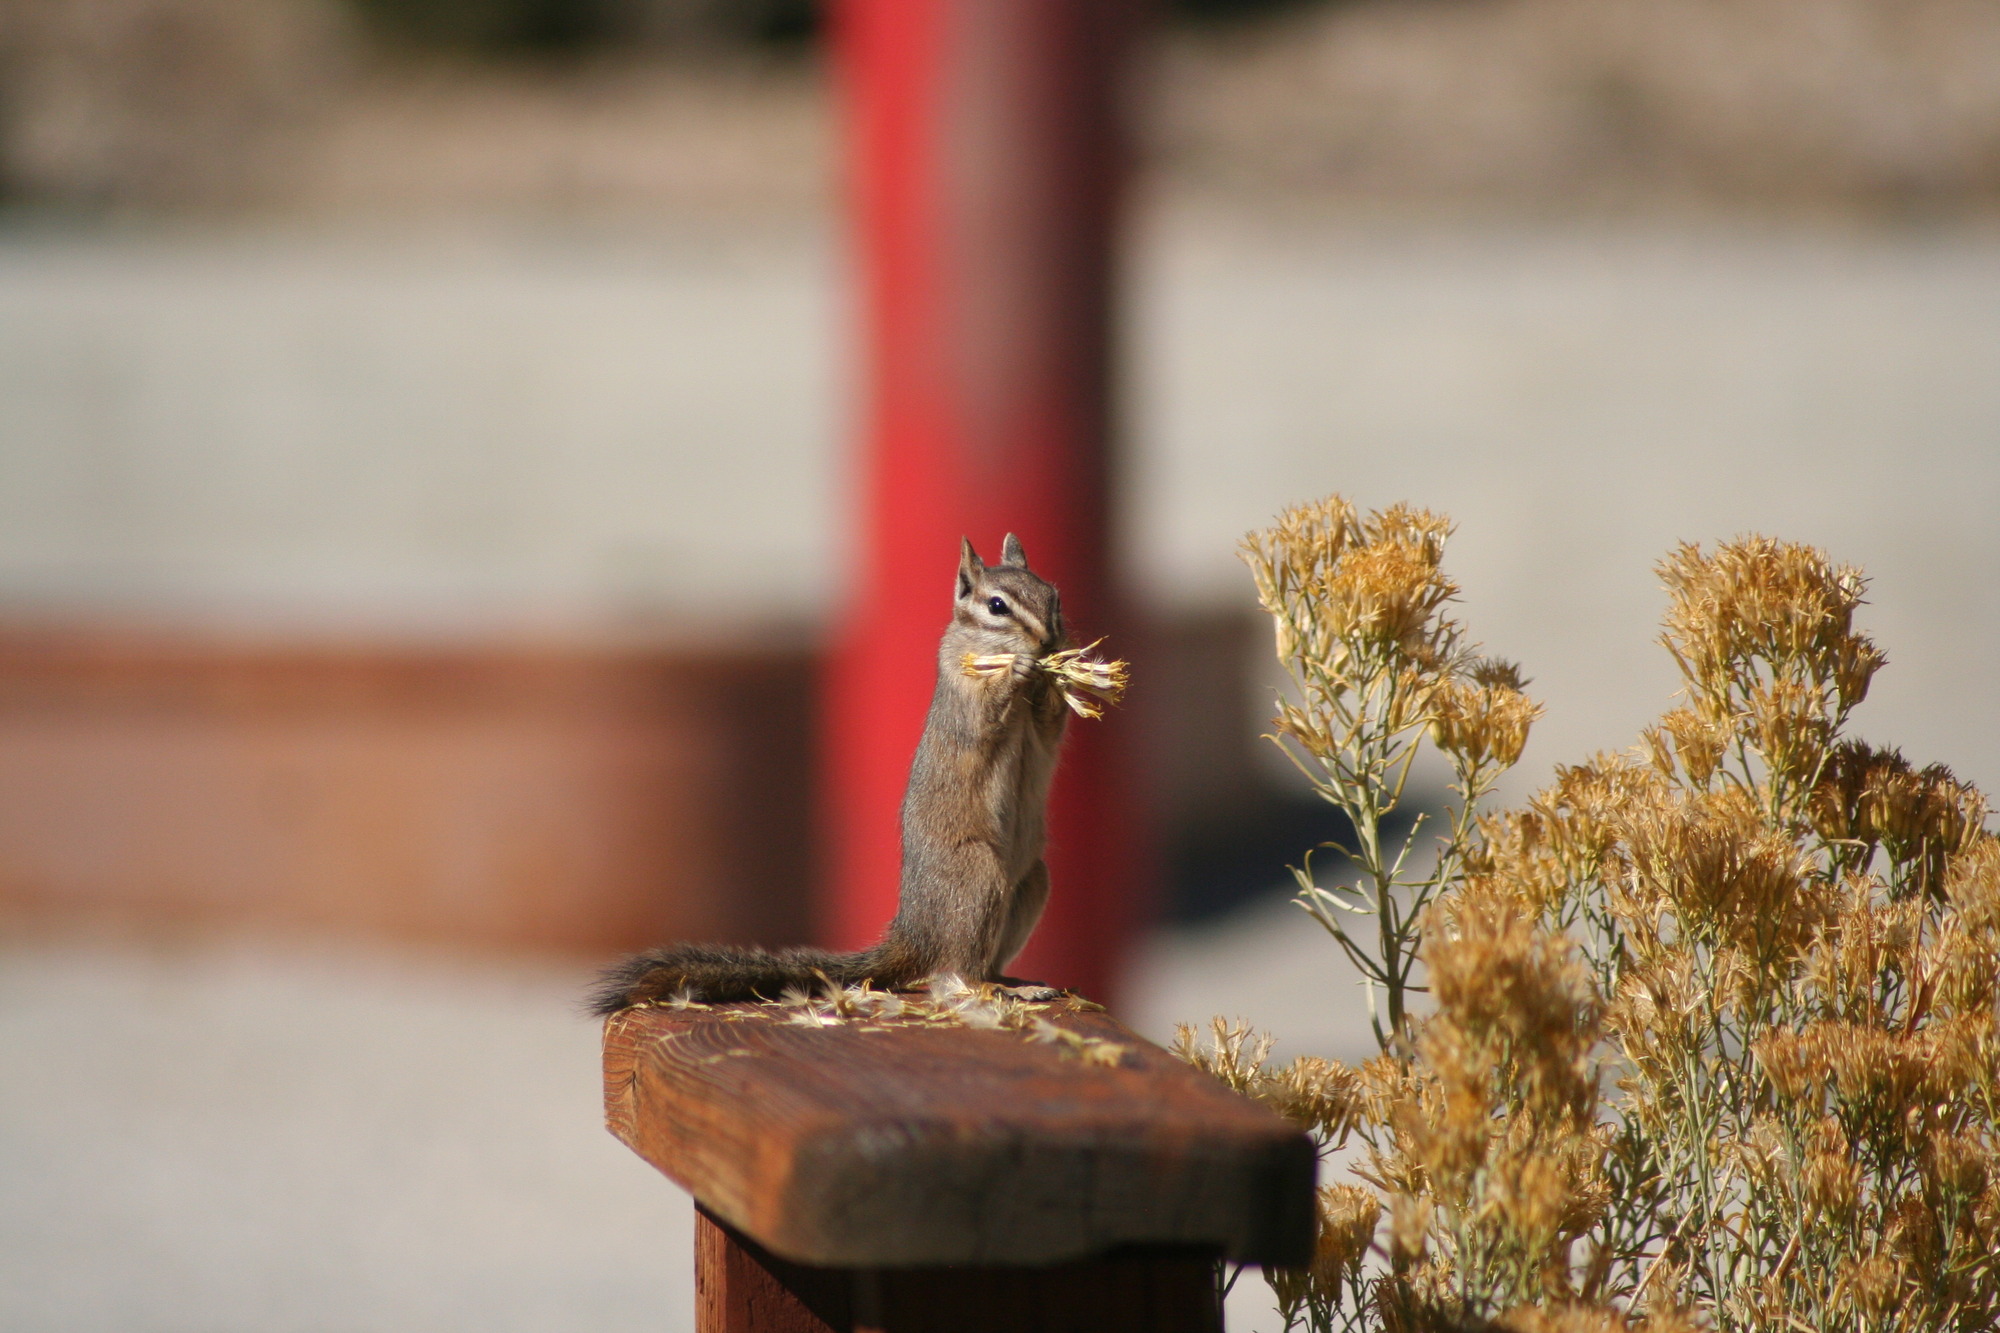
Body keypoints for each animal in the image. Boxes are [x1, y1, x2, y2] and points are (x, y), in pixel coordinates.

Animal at [589, 532, 1073, 1013]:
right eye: (997, 606)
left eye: (1054, 595)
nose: (1049, 640)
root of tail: (915, 935)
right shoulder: (963, 692)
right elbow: (982, 722)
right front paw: (1021, 671)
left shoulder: (1041, 728)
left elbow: (1050, 729)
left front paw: (1055, 674)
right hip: (978, 877)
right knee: (956, 976)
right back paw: (995, 988)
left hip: (1031, 882)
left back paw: (1018, 982)